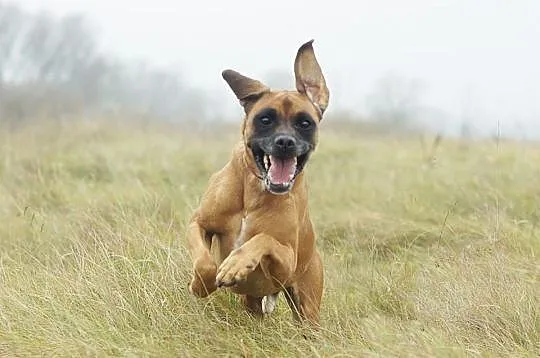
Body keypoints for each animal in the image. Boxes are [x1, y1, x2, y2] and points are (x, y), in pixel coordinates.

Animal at [186, 40, 330, 326]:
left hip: (306, 304)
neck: (254, 189)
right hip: (252, 303)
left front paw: (235, 265)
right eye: (265, 119)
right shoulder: (199, 222)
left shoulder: (286, 263)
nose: (285, 142)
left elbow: (264, 239)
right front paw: (200, 285)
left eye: (304, 123)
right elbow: (204, 263)